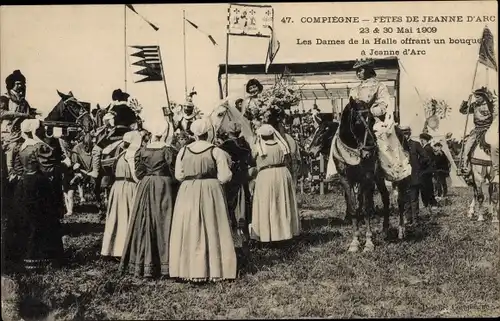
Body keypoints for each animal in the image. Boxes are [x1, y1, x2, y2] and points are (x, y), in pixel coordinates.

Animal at [308, 96, 410, 251]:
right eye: (317, 131)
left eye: (372, 120)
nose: (310, 152)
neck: (353, 150)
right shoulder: (346, 180)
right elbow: (354, 207)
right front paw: (355, 242)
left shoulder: (366, 179)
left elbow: (366, 208)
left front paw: (368, 242)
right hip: (379, 178)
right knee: (386, 197)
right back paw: (385, 230)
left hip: (396, 176)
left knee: (400, 200)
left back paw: (401, 231)